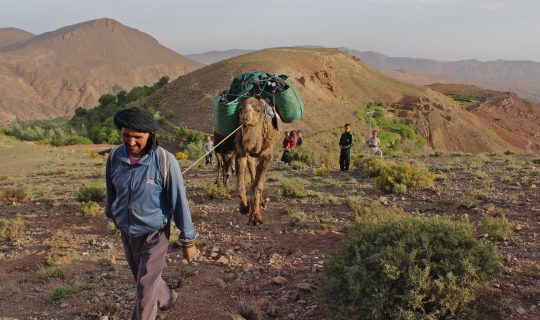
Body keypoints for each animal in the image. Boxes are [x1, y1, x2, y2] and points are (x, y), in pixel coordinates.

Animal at [235, 96, 278, 224]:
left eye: (258, 110)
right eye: (239, 108)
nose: (245, 116)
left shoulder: (267, 155)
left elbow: (257, 185)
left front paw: (256, 218)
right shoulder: (241, 152)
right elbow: (241, 183)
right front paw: (244, 207)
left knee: (255, 179)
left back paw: (261, 203)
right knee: (251, 171)